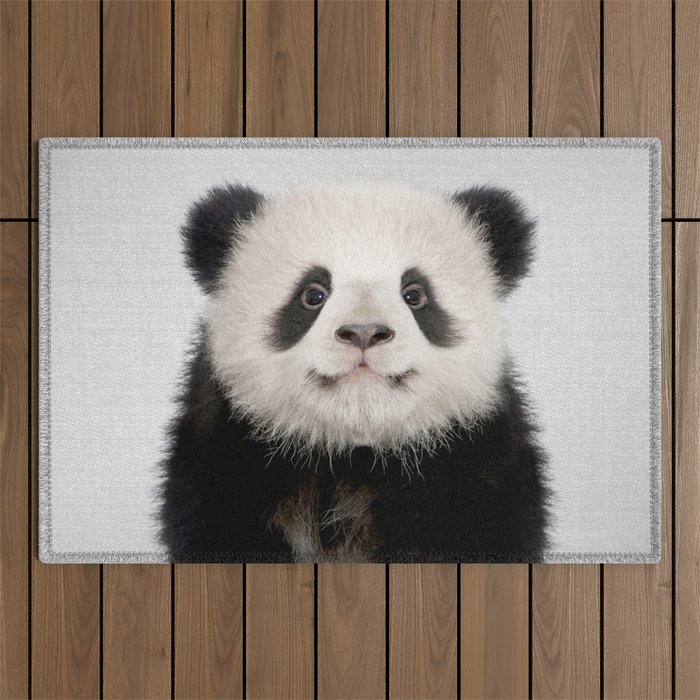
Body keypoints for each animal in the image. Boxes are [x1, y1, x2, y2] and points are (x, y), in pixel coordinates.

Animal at [158, 181, 550, 562]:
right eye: (313, 294)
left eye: (415, 295)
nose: (364, 332)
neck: (353, 457)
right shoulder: (226, 458)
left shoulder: (477, 464)